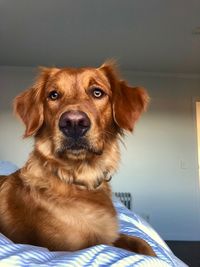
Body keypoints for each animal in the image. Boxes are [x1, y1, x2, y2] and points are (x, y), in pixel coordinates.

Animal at [0, 61, 155, 258]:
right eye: (53, 95)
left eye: (97, 92)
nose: (73, 123)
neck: (78, 178)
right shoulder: (69, 248)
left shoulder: (109, 236)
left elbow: (141, 242)